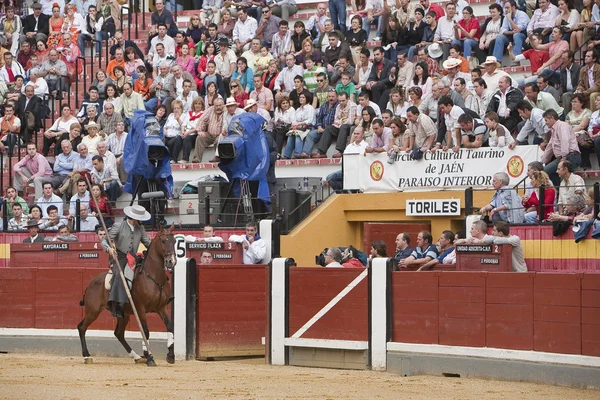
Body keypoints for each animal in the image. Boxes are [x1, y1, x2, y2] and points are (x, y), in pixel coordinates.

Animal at [76, 225, 177, 366]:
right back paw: (87, 356)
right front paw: (150, 358)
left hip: (123, 314)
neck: (152, 276)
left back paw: (137, 357)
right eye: (163, 241)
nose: (170, 261)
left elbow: (170, 327)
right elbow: (145, 331)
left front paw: (170, 355)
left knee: (118, 333)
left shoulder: (162, 307)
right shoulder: (140, 308)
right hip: (93, 311)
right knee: (81, 327)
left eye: (174, 241)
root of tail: (91, 283)